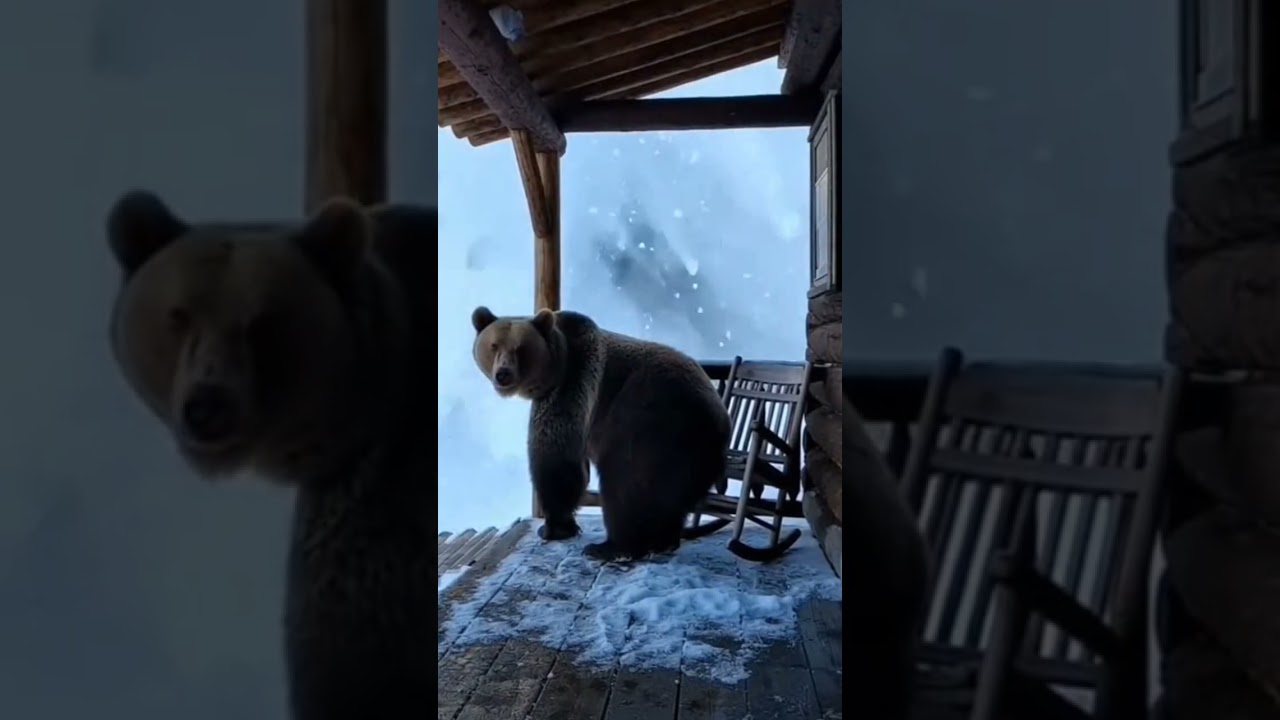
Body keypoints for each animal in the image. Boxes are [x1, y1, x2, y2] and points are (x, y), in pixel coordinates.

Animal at [471, 306, 731, 562]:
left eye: (520, 348)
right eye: (494, 345)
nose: (503, 373)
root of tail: (721, 420)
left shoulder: (573, 381)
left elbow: (554, 454)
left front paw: (554, 527)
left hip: (655, 422)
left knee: (627, 481)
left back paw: (613, 546)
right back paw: (663, 541)